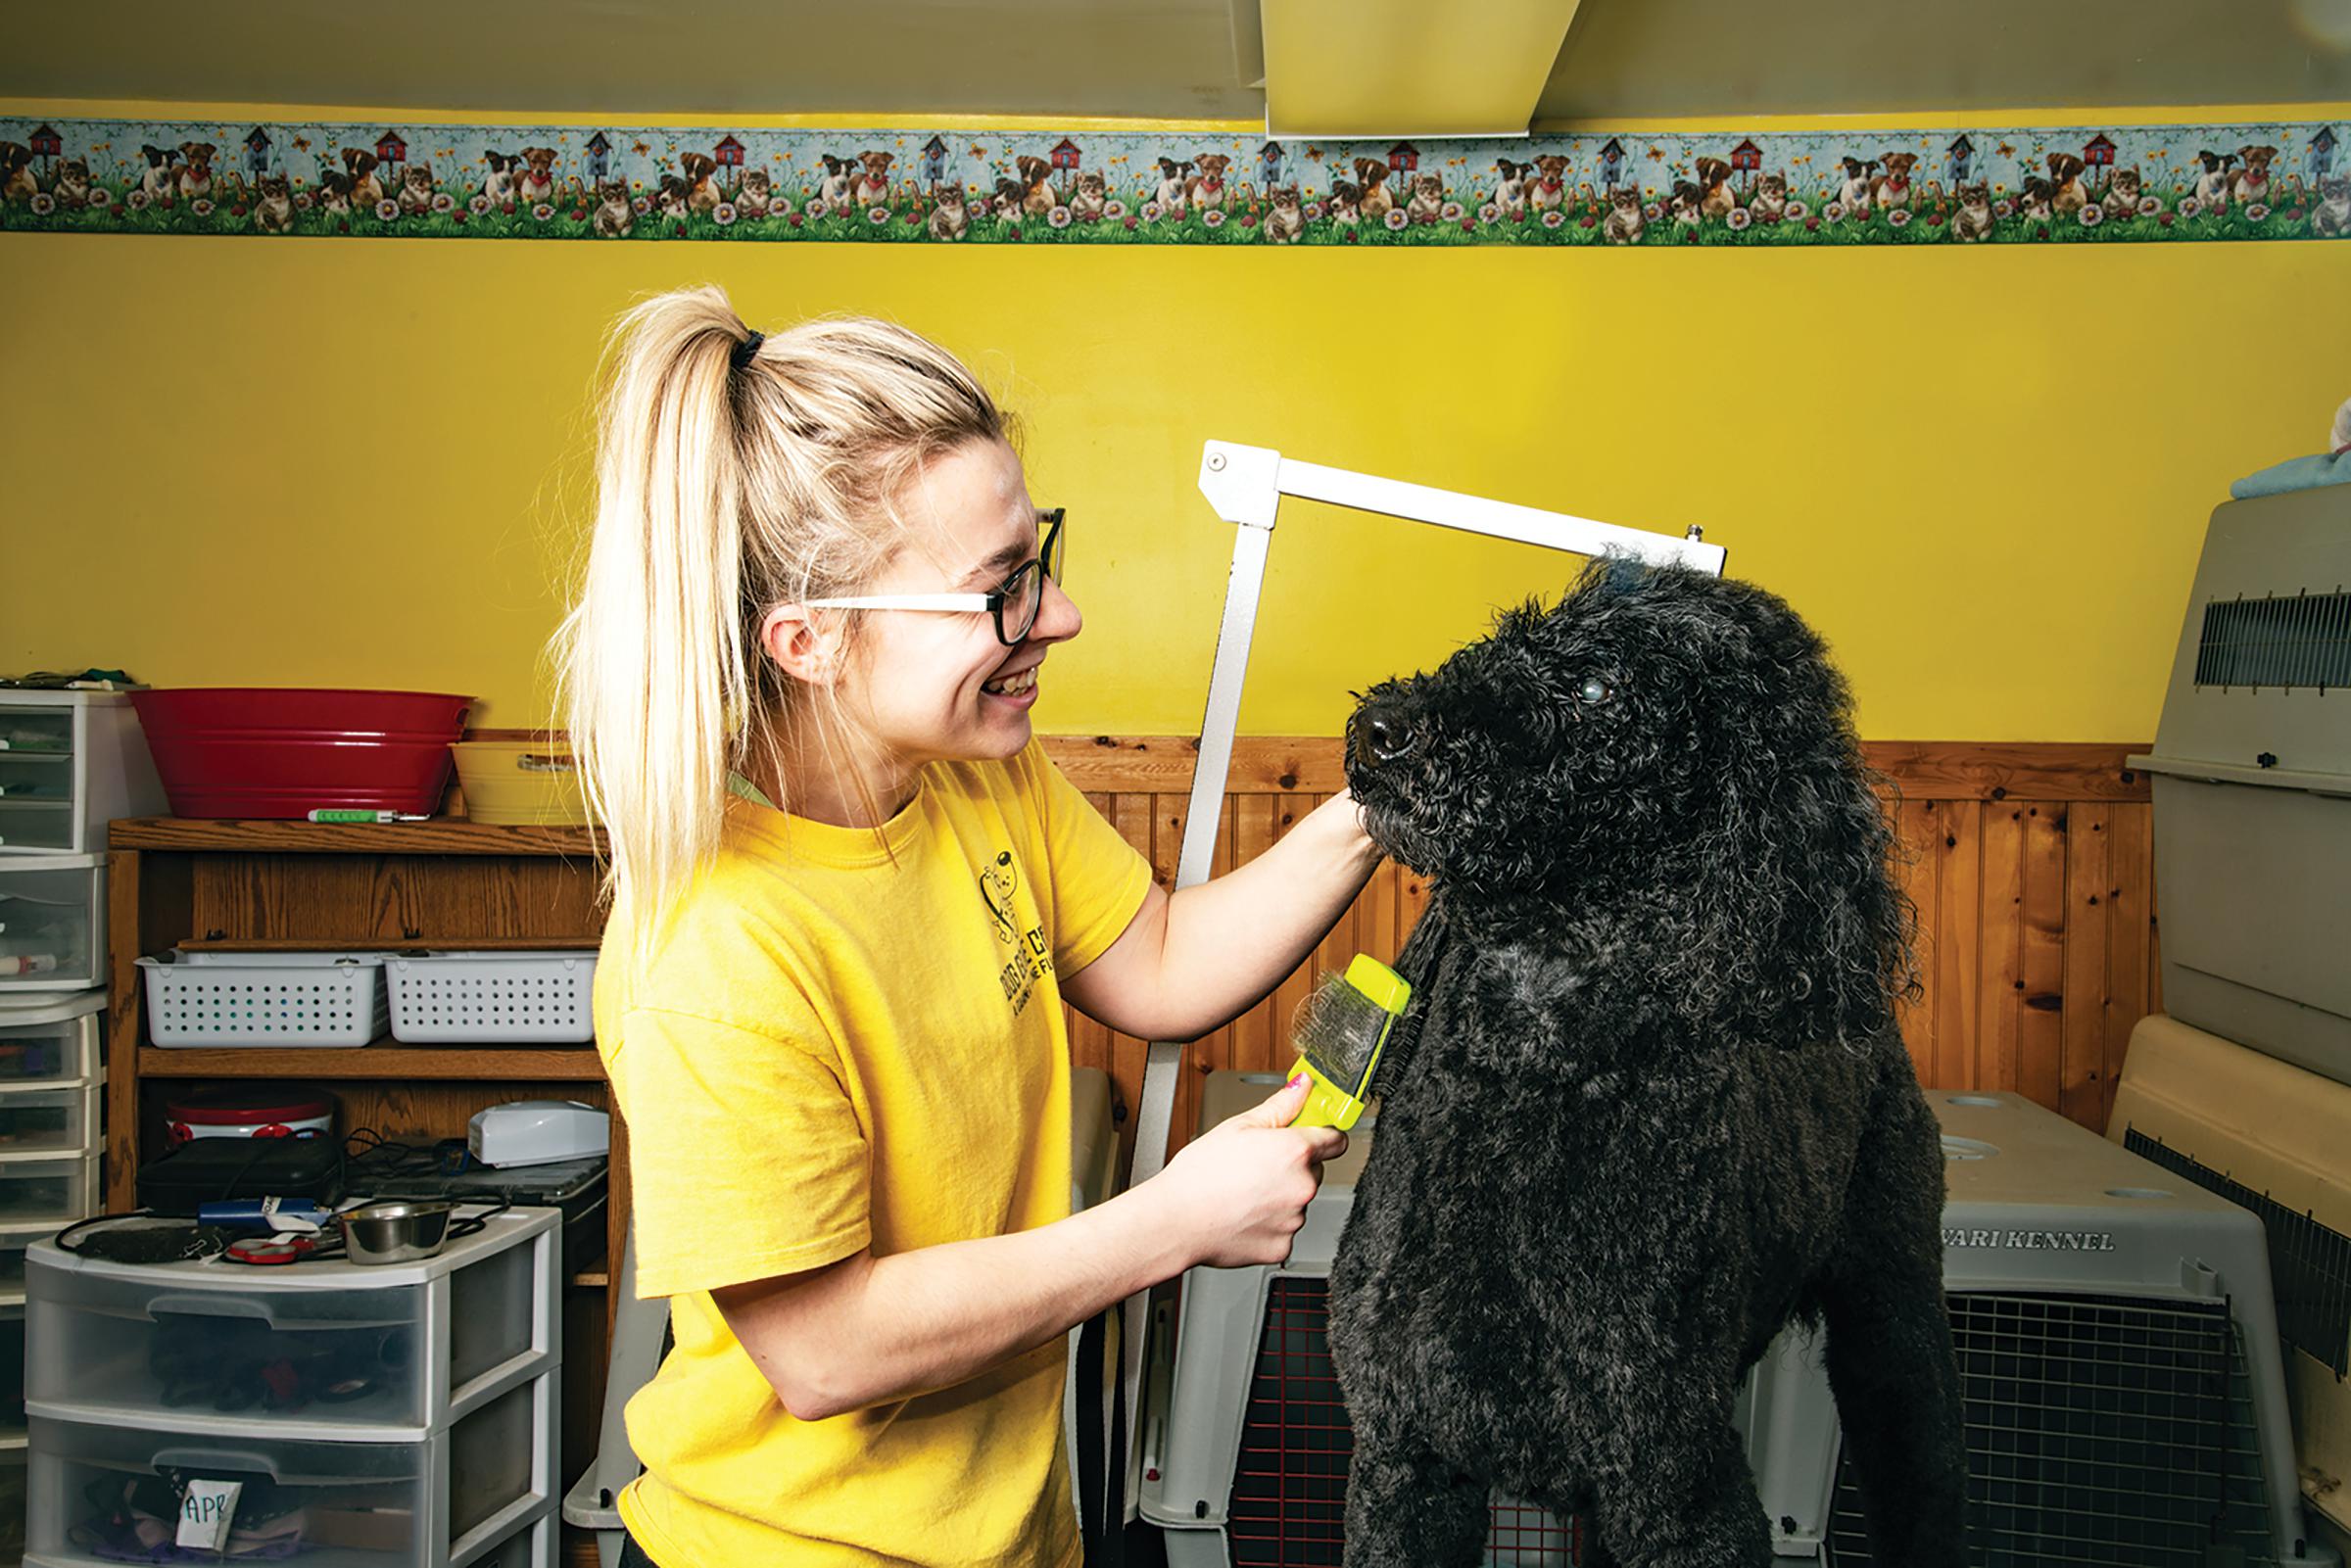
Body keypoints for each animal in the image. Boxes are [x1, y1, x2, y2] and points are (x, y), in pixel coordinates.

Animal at [1335, 556, 1975, 1560]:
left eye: (1599, 690)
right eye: (1514, 635)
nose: (1382, 727)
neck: (1527, 1065)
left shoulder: (1675, 1486)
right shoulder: (1405, 1458)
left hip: (1897, 1315)